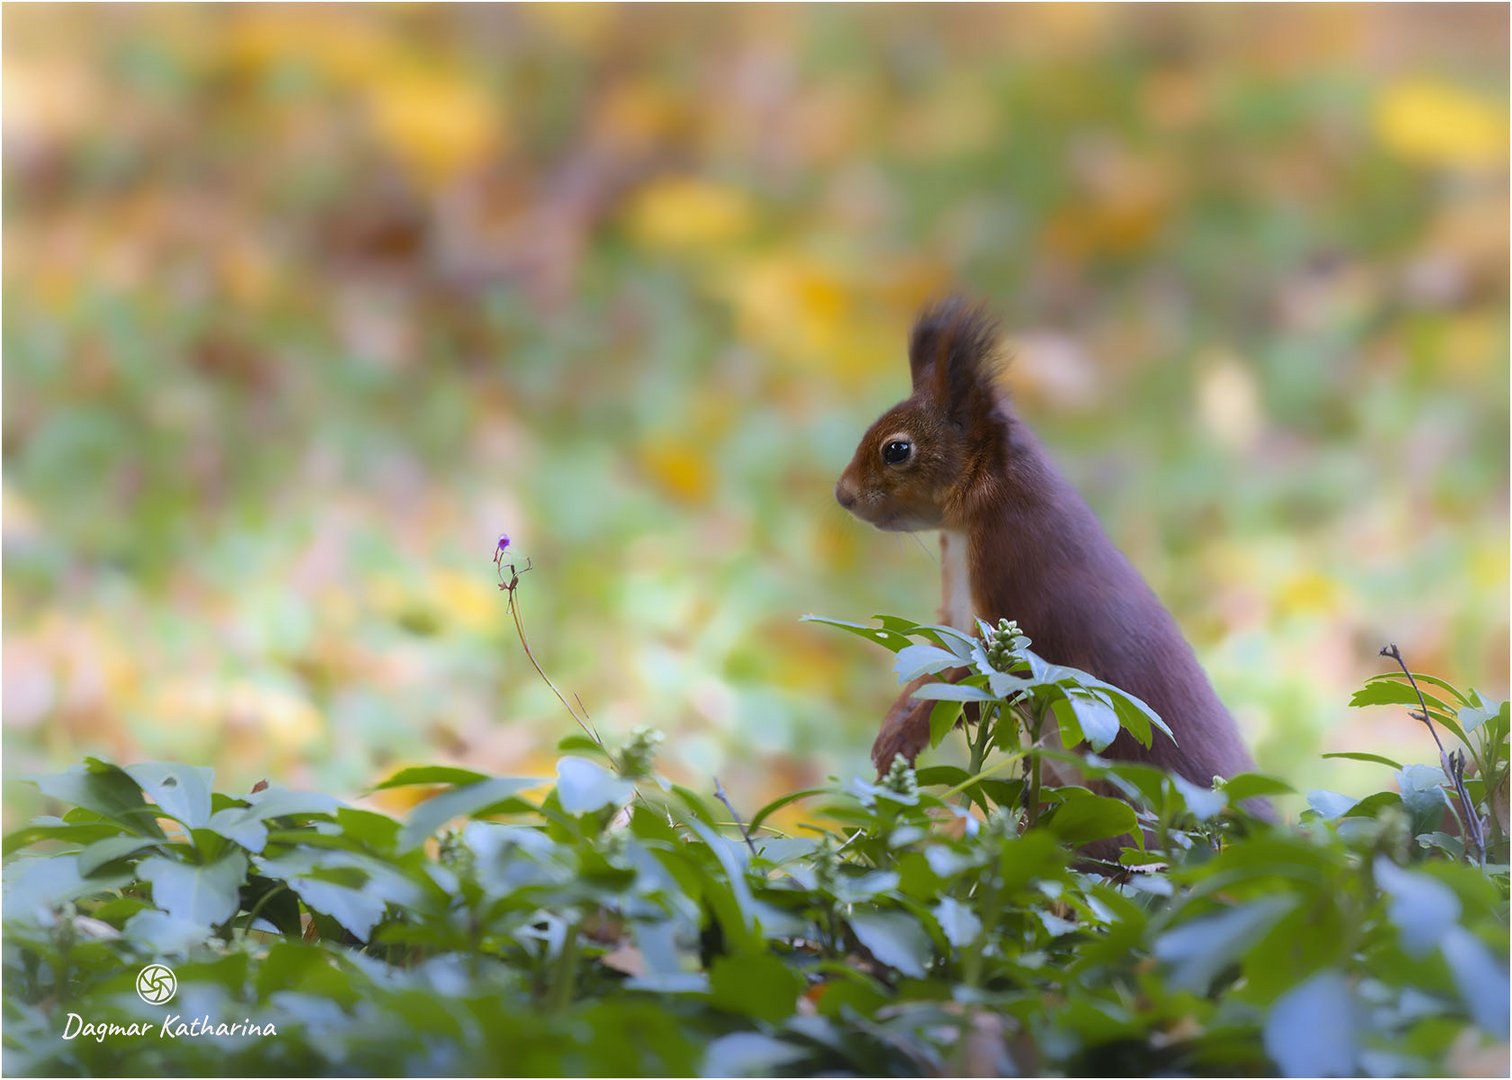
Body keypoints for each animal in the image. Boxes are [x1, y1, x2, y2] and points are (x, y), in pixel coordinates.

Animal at [834, 294, 1257, 792]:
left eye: (896, 450)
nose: (842, 494)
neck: (973, 521)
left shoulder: (1021, 587)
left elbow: (984, 679)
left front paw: (909, 733)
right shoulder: (954, 614)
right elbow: (934, 664)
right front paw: (895, 722)